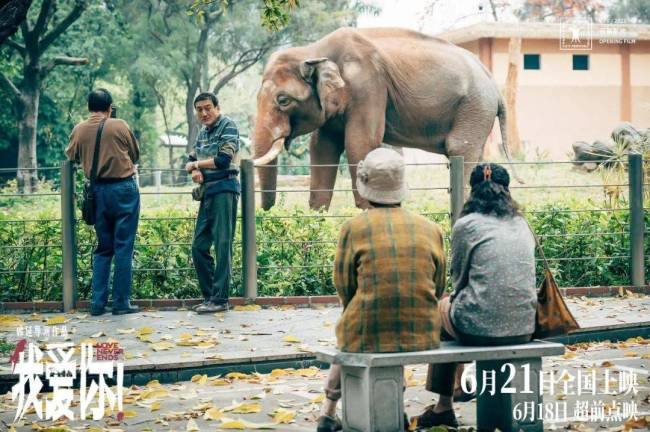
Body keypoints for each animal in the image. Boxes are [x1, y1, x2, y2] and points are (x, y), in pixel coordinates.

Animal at [251, 26, 512, 209]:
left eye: (283, 100)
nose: (268, 210)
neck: (313, 51)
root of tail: (494, 84)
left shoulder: (369, 86)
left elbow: (359, 144)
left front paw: (370, 209)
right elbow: (323, 147)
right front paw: (318, 216)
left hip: (475, 107)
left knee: (460, 149)